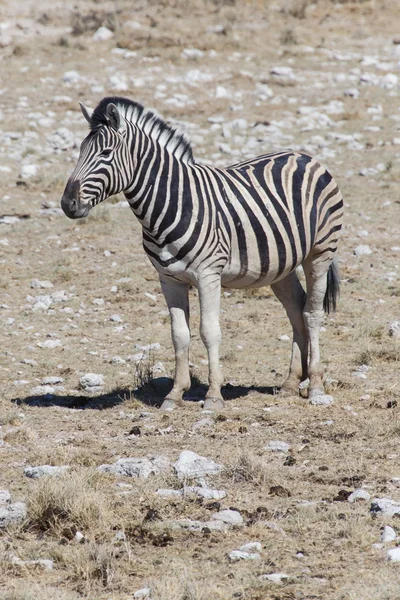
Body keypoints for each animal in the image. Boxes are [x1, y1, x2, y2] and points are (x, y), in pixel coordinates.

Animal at [61, 96, 342, 410]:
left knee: (311, 313)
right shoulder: (169, 279)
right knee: (295, 309)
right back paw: (291, 383)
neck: (171, 204)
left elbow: (209, 331)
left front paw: (214, 395)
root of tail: (303, 156)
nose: (67, 204)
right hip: (280, 264)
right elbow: (179, 335)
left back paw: (315, 386)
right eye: (80, 151)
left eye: (106, 153)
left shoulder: (209, 275)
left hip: (320, 252)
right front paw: (174, 394)